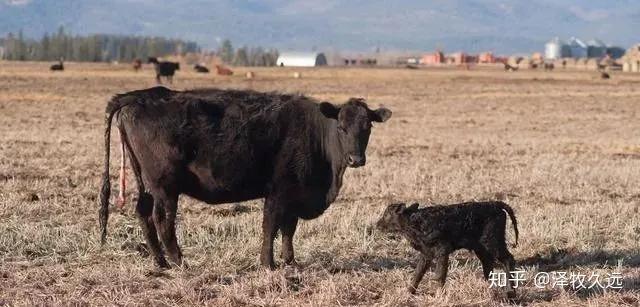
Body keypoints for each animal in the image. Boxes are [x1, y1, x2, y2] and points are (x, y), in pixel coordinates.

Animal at [99, 86, 390, 270]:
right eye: (341, 127)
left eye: (368, 127)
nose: (356, 159)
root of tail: (137, 96)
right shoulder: (279, 192)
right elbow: (271, 227)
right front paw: (268, 264)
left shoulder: (294, 195)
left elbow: (289, 229)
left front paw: (290, 261)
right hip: (165, 187)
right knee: (163, 221)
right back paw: (180, 263)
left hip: (145, 183)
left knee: (143, 213)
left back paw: (160, 262)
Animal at [376, 202, 520, 296]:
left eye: (386, 215)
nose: (377, 224)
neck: (414, 221)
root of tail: (496, 204)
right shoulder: (426, 254)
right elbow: (418, 273)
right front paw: (408, 292)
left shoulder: (442, 250)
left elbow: (440, 274)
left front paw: (439, 295)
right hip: (481, 247)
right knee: (488, 263)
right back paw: (488, 286)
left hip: (493, 242)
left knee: (508, 260)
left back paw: (510, 292)